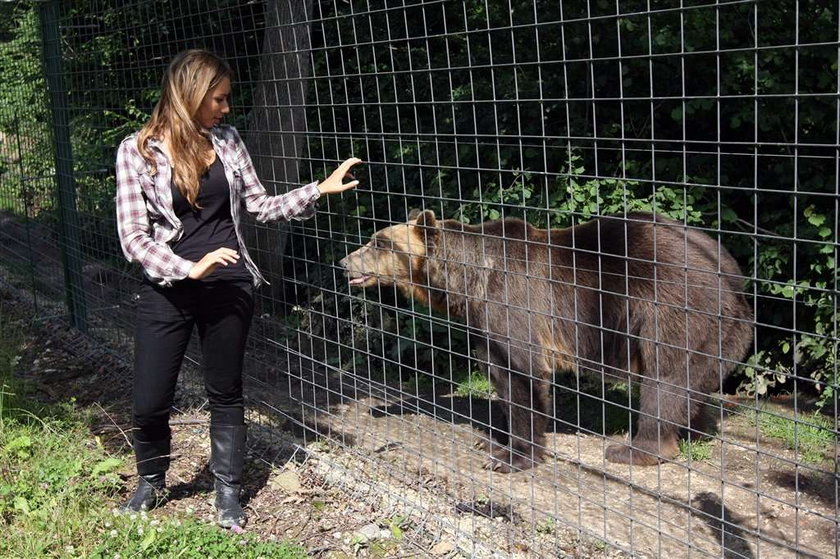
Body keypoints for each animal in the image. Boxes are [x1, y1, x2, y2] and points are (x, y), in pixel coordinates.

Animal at [340, 210, 756, 472]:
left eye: (378, 241)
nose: (345, 262)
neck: (468, 280)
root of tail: (733, 274)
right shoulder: (484, 322)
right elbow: (500, 375)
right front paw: (493, 440)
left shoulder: (512, 302)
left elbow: (523, 377)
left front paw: (512, 457)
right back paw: (692, 429)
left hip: (670, 305)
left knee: (666, 377)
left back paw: (637, 448)